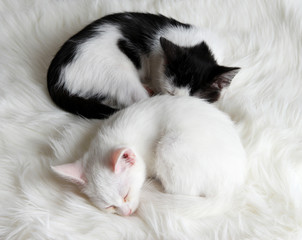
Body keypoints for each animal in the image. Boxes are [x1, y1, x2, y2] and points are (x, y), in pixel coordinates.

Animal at [51, 94, 245, 217]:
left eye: (126, 195)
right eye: (109, 206)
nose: (126, 213)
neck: (113, 134)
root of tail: (229, 188)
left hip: (170, 146)